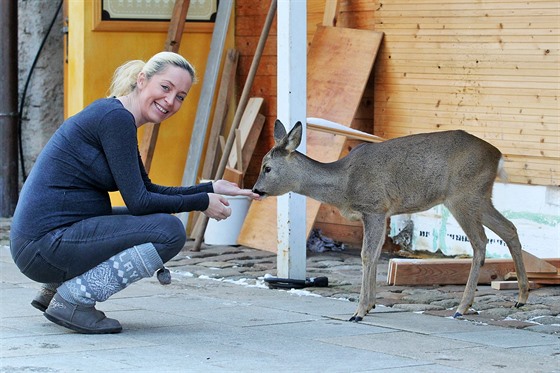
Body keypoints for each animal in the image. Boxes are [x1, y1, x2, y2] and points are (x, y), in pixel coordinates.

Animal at [253, 119, 528, 320]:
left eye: (267, 167)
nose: (256, 190)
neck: (343, 185)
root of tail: (498, 156)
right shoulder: (381, 213)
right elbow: (375, 255)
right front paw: (371, 305)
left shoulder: (374, 207)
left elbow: (366, 255)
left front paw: (359, 312)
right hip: (480, 197)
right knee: (509, 228)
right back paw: (520, 298)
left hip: (463, 196)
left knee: (480, 241)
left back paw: (462, 308)